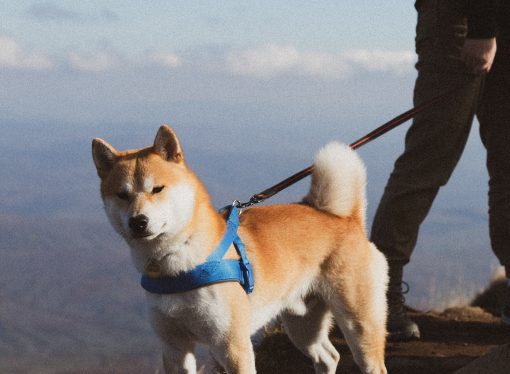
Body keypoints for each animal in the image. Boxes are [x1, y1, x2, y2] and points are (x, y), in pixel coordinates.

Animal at [91, 125, 388, 374]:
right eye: (122, 195)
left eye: (157, 189)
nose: (138, 222)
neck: (178, 264)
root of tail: (345, 218)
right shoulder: (175, 348)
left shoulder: (231, 346)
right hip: (302, 326)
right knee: (329, 356)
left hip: (359, 325)